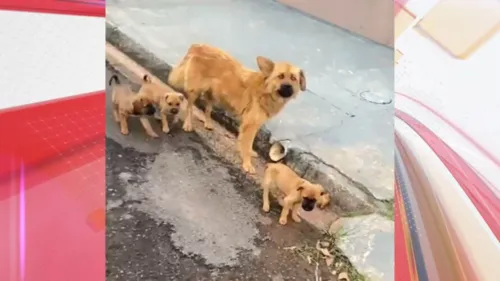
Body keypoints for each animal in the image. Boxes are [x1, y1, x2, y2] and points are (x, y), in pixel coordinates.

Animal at [168, 43, 306, 173]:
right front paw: (247, 163)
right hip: (195, 90)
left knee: (208, 108)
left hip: (213, 94)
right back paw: (188, 123)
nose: (288, 87)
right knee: (189, 106)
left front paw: (250, 153)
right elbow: (247, 143)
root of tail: (198, 45)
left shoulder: (255, 124)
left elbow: (250, 144)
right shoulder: (250, 125)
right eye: (280, 76)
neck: (266, 91)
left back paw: (208, 123)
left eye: (293, 78)